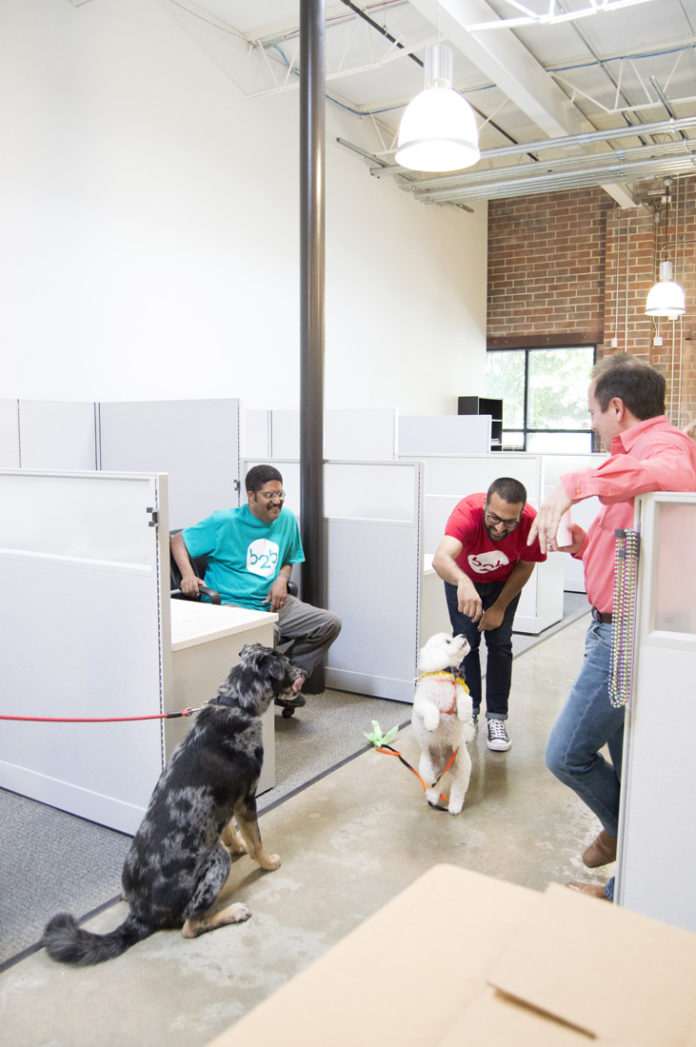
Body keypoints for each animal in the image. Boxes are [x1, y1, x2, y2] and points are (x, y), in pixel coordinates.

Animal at [42, 636, 303, 963]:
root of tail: (140, 914)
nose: (303, 672)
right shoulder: (245, 799)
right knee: (190, 925)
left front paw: (238, 844)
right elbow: (256, 840)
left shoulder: (225, 804)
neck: (236, 704)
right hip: (217, 861)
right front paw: (267, 861)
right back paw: (233, 912)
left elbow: (228, 830)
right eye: (285, 662)